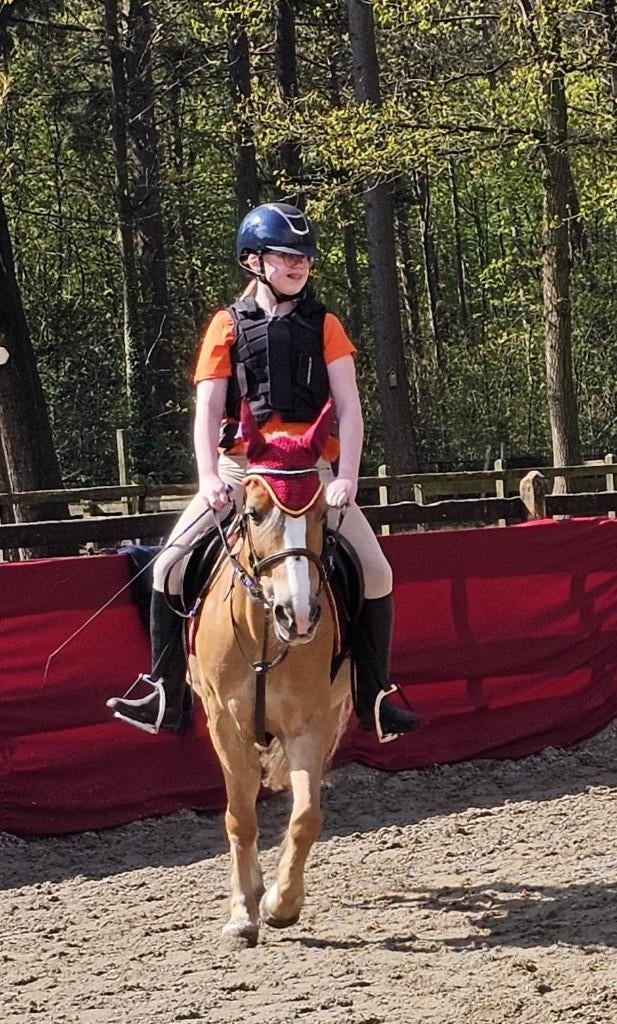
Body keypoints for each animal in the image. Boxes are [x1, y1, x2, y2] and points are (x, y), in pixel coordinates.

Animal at [189, 400, 352, 948]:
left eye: (322, 515)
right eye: (254, 513)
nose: (297, 614)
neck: (264, 635)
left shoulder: (311, 724)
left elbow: (305, 818)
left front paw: (283, 902)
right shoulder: (225, 724)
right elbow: (240, 817)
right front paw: (243, 912)